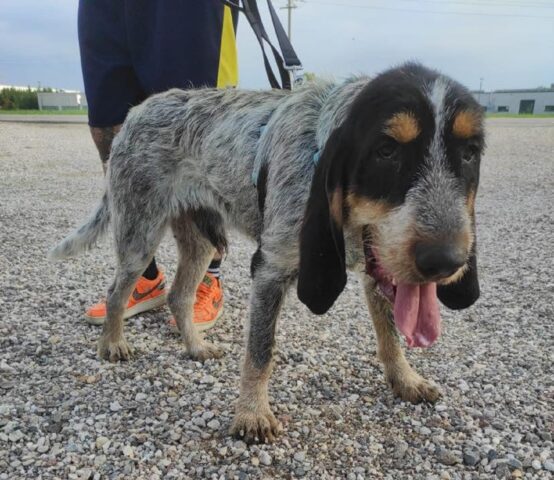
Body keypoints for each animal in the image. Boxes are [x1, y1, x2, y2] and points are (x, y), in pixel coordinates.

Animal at [51, 62, 484, 442]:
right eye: (386, 150)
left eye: (469, 153)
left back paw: (195, 346)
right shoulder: (270, 269)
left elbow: (390, 335)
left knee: (178, 295)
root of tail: (136, 111)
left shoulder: (380, 266)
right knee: (116, 291)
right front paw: (252, 415)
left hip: (202, 242)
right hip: (139, 234)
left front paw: (406, 379)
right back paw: (111, 343)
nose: (446, 261)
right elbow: (261, 351)